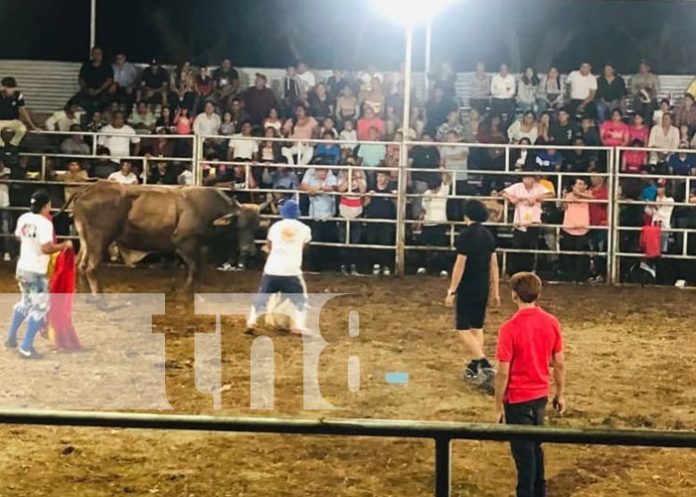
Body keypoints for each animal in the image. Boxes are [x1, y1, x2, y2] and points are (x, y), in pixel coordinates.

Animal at [62, 181, 262, 290]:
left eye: (256, 227)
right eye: (239, 225)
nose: (251, 249)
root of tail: (88, 189)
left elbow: (199, 270)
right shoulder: (185, 244)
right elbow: (194, 270)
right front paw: (185, 291)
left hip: (86, 240)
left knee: (80, 266)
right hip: (99, 240)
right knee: (90, 268)